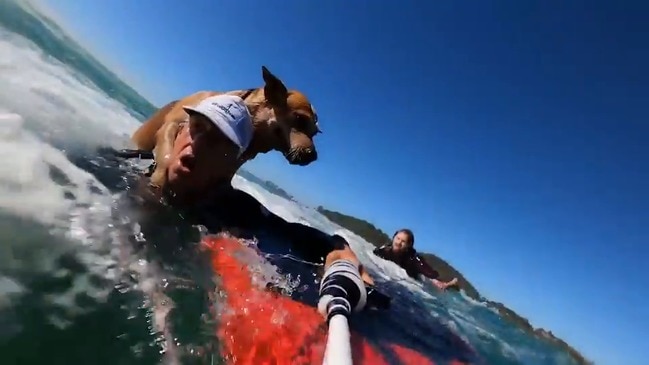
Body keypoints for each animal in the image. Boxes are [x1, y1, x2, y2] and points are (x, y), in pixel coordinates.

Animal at [132, 65, 322, 186]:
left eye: (315, 133)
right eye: (299, 118)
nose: (313, 156)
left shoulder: (229, 167)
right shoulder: (172, 126)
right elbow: (165, 157)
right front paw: (158, 178)